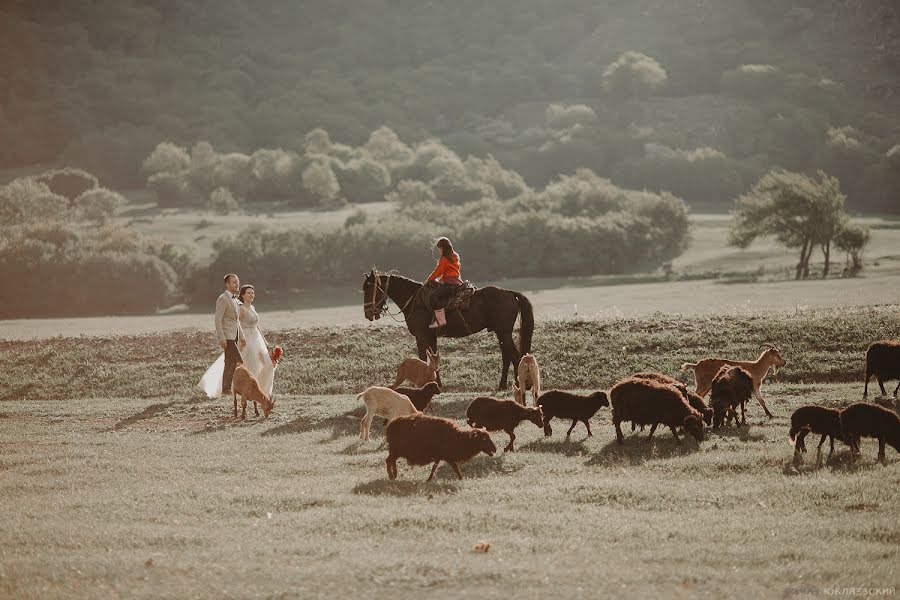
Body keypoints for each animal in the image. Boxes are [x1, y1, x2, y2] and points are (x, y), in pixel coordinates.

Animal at [360, 268, 532, 390]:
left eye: (369, 289)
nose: (368, 314)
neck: (415, 301)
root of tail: (510, 293)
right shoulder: (430, 337)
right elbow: (432, 358)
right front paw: (437, 383)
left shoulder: (421, 336)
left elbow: (422, 358)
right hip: (502, 334)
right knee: (508, 357)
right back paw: (504, 385)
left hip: (504, 333)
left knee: (515, 356)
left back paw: (518, 385)